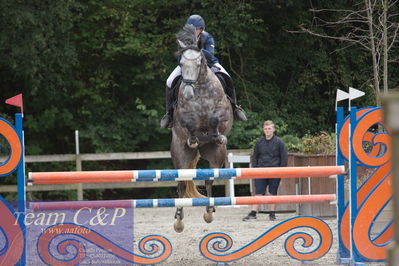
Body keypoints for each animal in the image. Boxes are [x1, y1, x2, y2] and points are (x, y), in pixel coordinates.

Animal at [170, 25, 233, 233]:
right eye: (181, 63)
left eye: (198, 64)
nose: (189, 93)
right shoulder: (181, 115)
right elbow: (189, 123)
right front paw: (193, 137)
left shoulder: (223, 111)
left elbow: (215, 118)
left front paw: (216, 134)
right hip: (180, 154)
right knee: (182, 184)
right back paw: (179, 220)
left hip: (216, 155)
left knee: (210, 179)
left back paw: (209, 212)